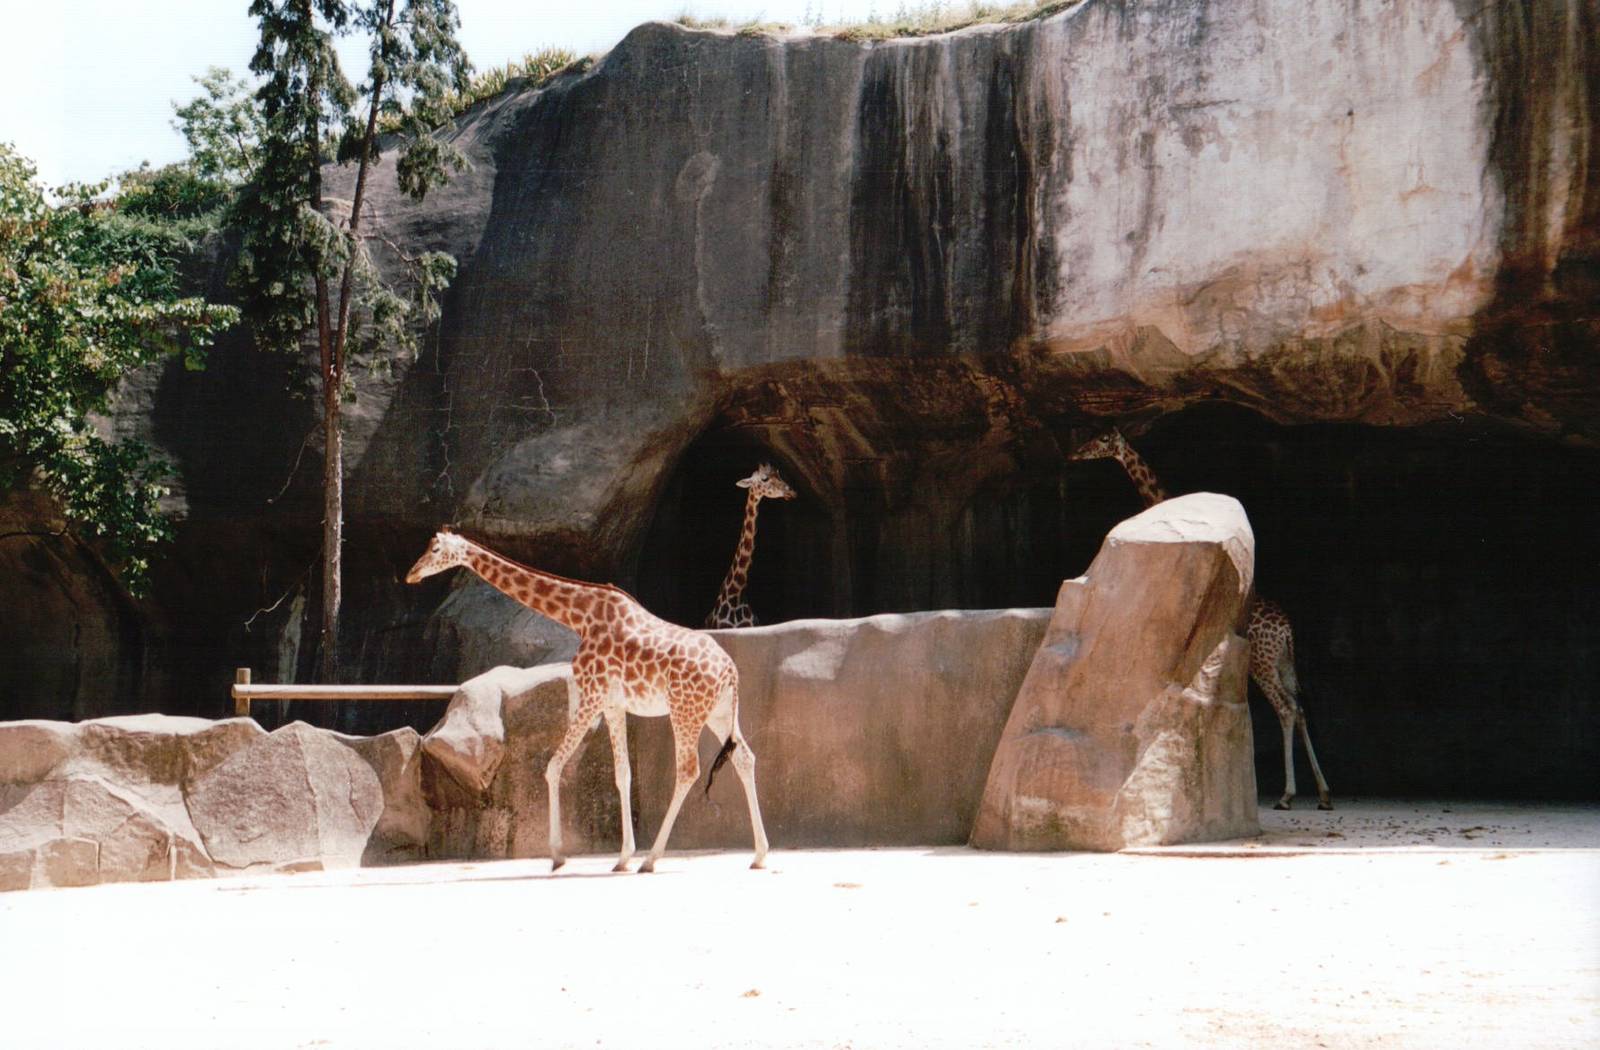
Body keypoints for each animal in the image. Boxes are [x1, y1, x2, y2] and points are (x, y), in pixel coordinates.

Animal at [406, 529, 770, 872]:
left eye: (435, 549)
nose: (412, 573)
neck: (578, 616)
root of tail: (730, 670)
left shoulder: (591, 696)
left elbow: (553, 766)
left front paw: (558, 856)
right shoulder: (613, 704)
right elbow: (622, 774)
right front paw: (622, 857)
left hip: (685, 711)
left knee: (688, 769)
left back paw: (652, 859)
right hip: (717, 712)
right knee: (745, 757)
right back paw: (759, 854)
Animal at [1069, 429, 1333, 811]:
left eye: (1102, 439)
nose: (1075, 452)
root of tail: (1286, 631)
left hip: (1262, 663)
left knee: (1285, 708)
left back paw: (1286, 796)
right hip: (1284, 661)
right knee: (1298, 708)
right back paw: (1324, 795)